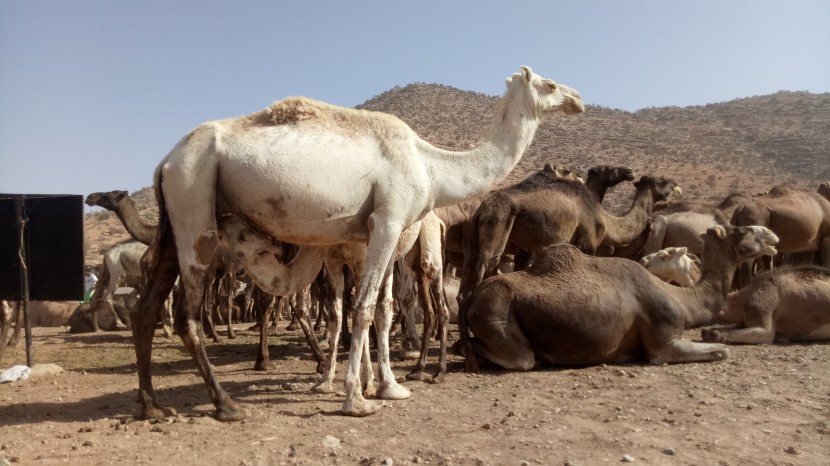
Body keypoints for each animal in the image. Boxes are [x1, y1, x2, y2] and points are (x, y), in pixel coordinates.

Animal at [132, 65, 584, 418]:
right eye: (549, 83)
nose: (578, 98)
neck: (431, 164)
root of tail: (166, 161)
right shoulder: (388, 219)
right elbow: (363, 309)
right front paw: (357, 399)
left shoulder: (366, 236)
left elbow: (373, 308)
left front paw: (386, 386)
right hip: (194, 192)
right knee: (186, 311)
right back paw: (225, 404)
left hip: (176, 211)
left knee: (147, 306)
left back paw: (152, 406)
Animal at [462, 224, 780, 374]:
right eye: (742, 230)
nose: (771, 235)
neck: (682, 299)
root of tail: (472, 299)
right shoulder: (664, 342)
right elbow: (721, 351)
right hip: (498, 315)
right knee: (521, 358)